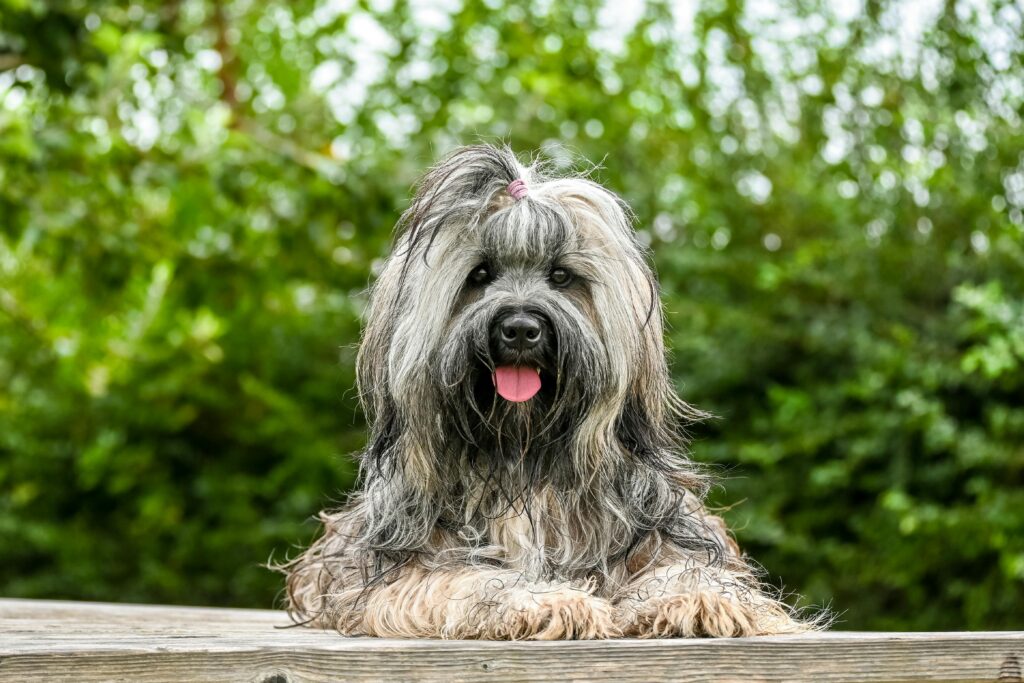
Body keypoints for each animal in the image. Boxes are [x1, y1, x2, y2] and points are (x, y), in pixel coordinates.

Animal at [282, 144, 815, 643]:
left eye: (561, 276)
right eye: (479, 275)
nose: (520, 329)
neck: (524, 455)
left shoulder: (660, 530)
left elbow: (687, 569)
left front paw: (701, 599)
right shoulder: (403, 569)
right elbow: (469, 579)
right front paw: (548, 601)